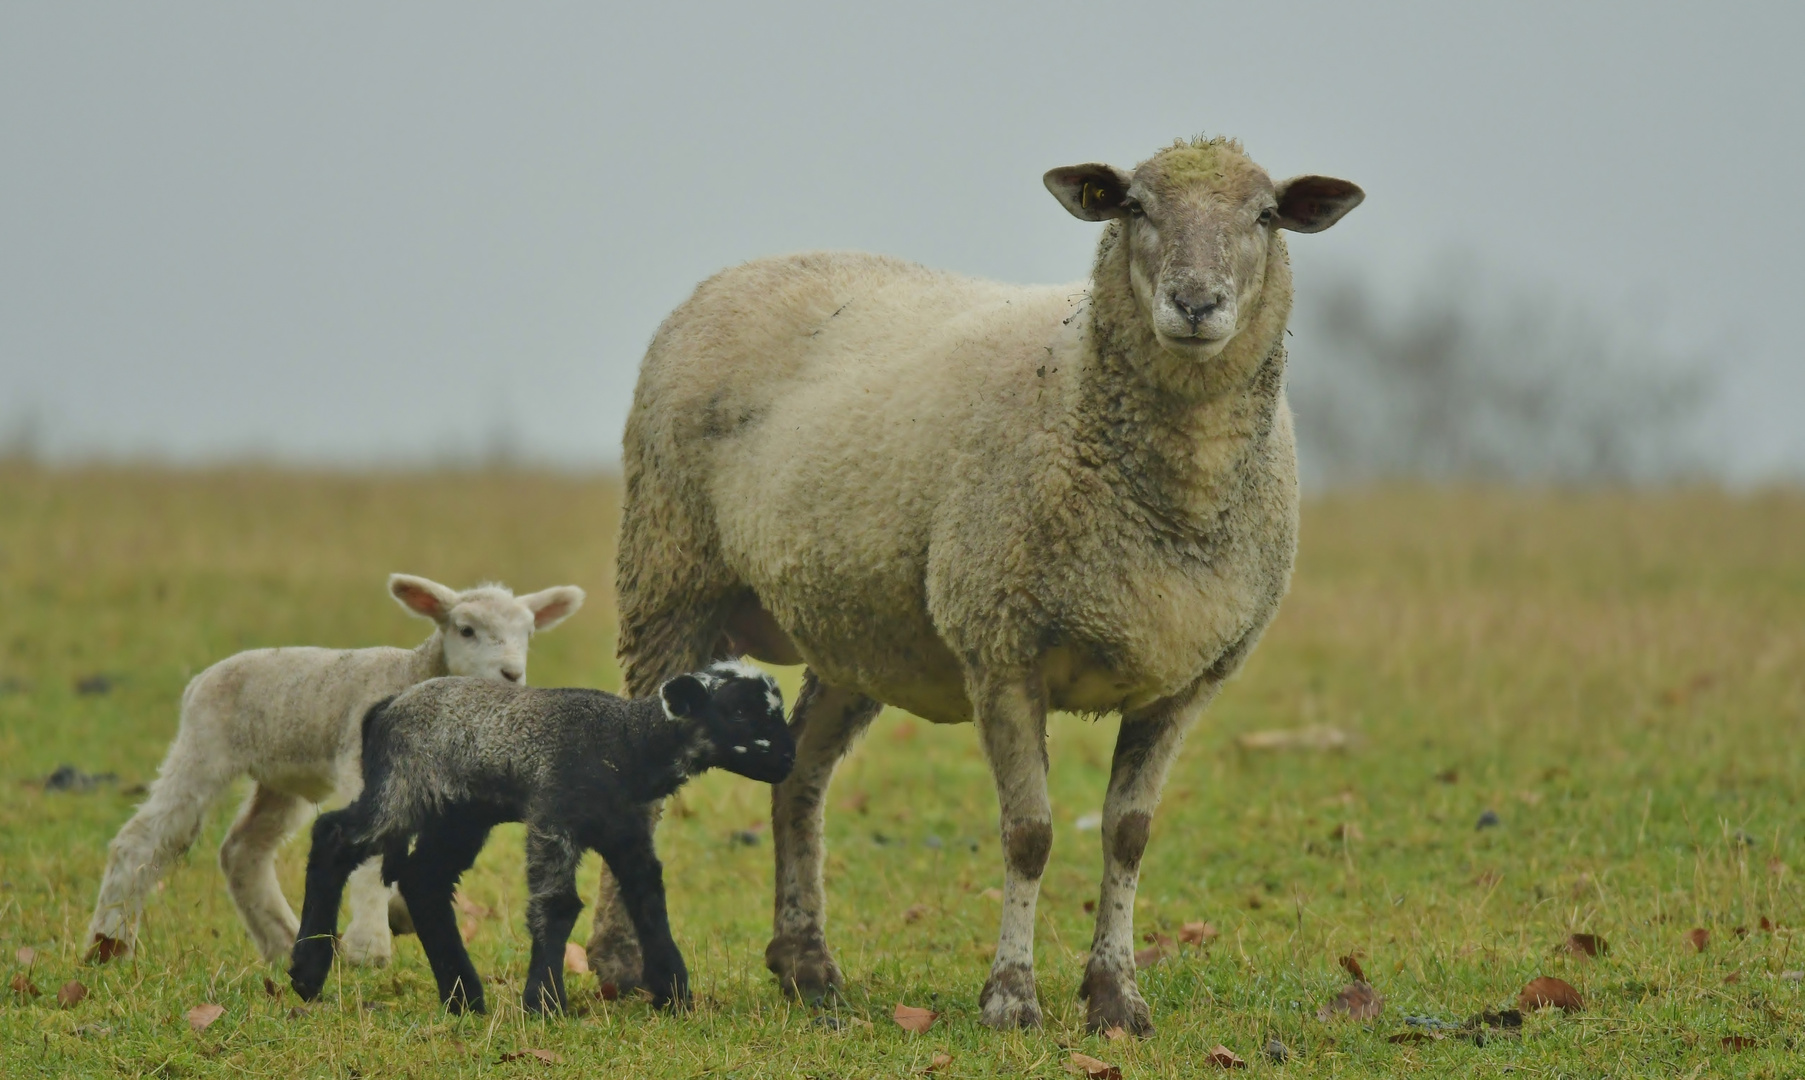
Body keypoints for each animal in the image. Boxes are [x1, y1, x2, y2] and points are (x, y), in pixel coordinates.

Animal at [86, 581, 584, 968]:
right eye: (466, 629)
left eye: (528, 633)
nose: (511, 674)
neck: (412, 674)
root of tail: (198, 681)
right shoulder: (360, 768)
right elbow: (371, 854)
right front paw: (370, 948)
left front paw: (399, 914)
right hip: (203, 747)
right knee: (144, 839)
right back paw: (109, 945)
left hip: (282, 776)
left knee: (244, 850)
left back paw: (283, 944)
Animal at [286, 657, 790, 1018]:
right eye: (739, 710)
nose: (788, 758)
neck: (625, 744)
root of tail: (386, 707)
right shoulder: (554, 815)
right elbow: (558, 905)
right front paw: (544, 1003)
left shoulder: (626, 830)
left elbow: (648, 896)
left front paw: (674, 995)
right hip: (403, 788)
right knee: (333, 835)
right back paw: (307, 973)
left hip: (460, 815)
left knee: (424, 881)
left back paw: (463, 998)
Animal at [584, 135, 1357, 1033]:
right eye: (1133, 208)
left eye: (1265, 216)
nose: (1194, 304)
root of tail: (734, 273)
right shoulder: (1002, 647)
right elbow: (1029, 834)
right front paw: (1011, 997)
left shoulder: (1185, 680)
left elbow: (1127, 834)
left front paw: (1115, 995)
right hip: (670, 574)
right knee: (634, 777)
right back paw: (622, 966)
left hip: (855, 628)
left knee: (800, 780)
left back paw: (806, 964)